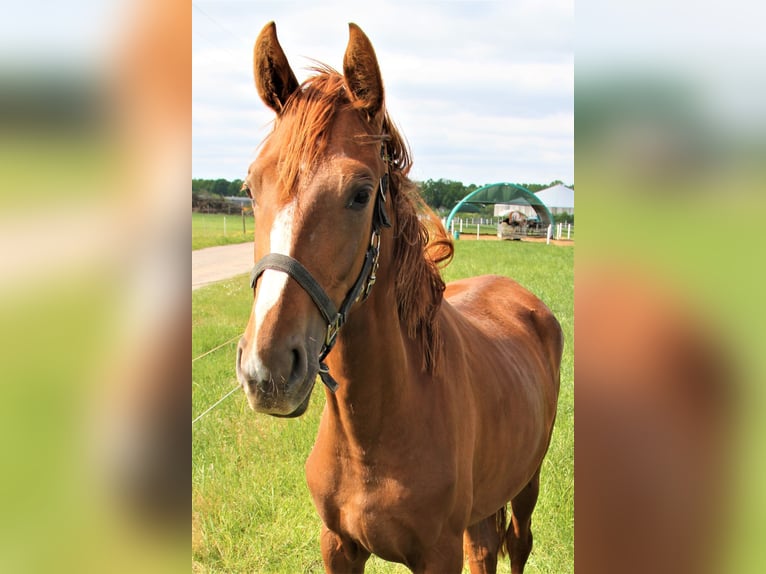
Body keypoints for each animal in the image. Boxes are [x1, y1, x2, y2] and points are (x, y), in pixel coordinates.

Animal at [236, 22, 564, 574]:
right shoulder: (338, 546)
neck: (372, 432)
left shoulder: (437, 555)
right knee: (485, 547)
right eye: (251, 186)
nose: (268, 369)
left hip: (527, 484)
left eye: (361, 193)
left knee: (517, 544)